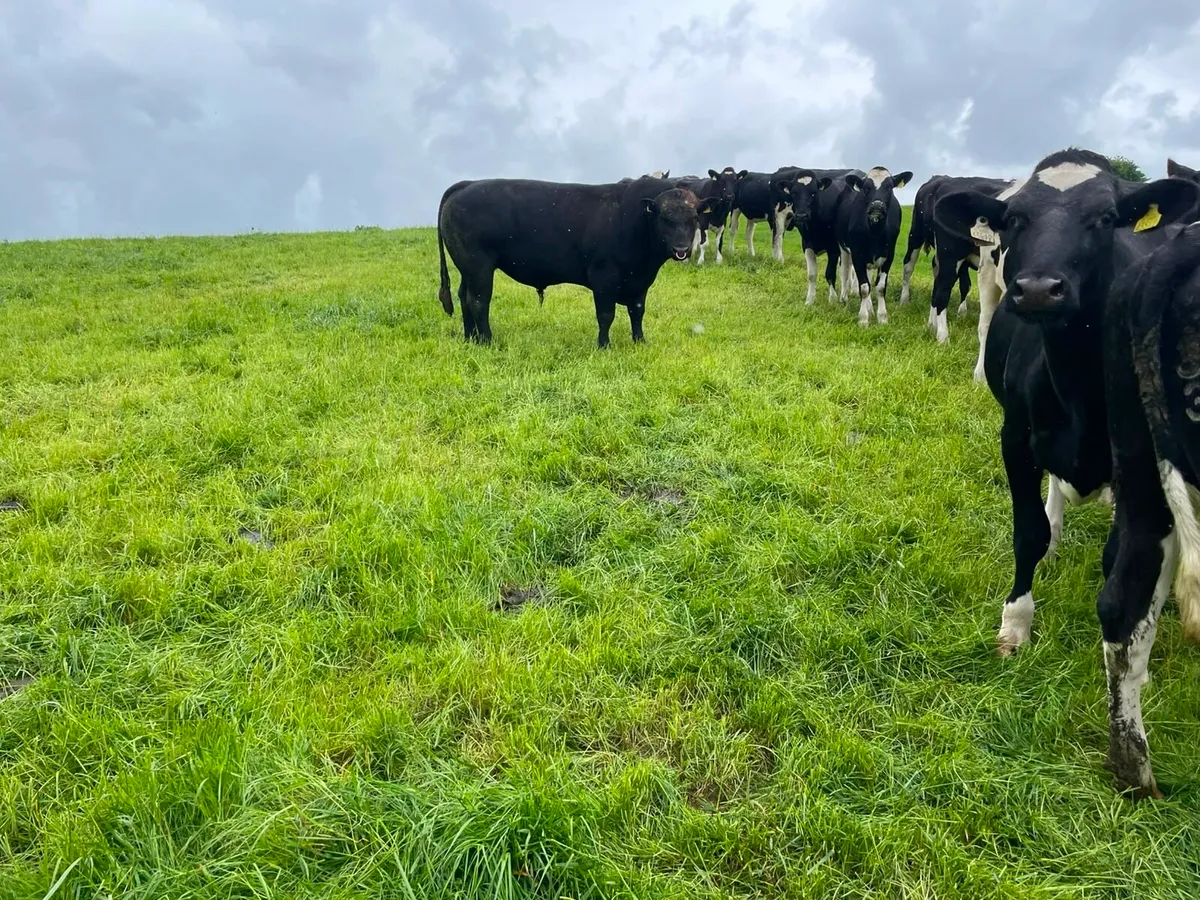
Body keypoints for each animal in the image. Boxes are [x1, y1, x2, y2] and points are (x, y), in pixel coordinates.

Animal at [437, 175, 715, 348]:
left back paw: (470, 338)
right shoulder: (604, 278)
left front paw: (640, 341)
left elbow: (637, 311)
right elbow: (606, 315)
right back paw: (487, 340)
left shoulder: (640, 282)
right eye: (664, 218)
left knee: (464, 297)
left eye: (693, 217)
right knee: (478, 301)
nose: (681, 249)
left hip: (468, 268)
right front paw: (604, 345)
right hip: (479, 265)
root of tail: (467, 184)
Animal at [776, 168, 862, 305]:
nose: (801, 215)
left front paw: (832, 299)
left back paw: (853, 290)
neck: (815, 226)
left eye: (813, 193)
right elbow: (811, 274)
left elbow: (830, 273)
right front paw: (810, 300)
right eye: (794, 193)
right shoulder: (807, 244)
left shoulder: (833, 248)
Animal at [835, 166, 913, 326]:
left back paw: (870, 308)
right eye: (866, 188)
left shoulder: (889, 255)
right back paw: (844, 298)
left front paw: (882, 317)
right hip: (843, 247)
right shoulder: (857, 254)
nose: (877, 206)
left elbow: (880, 287)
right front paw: (863, 319)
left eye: (889, 187)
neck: (875, 232)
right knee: (844, 272)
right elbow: (864, 287)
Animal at [932, 148, 1200, 797]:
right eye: (1014, 219)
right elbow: (1028, 533)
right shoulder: (1015, 440)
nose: (1037, 290)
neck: (1076, 379)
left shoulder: (1136, 472)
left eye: (1104, 218)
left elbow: (1120, 565)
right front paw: (1015, 626)